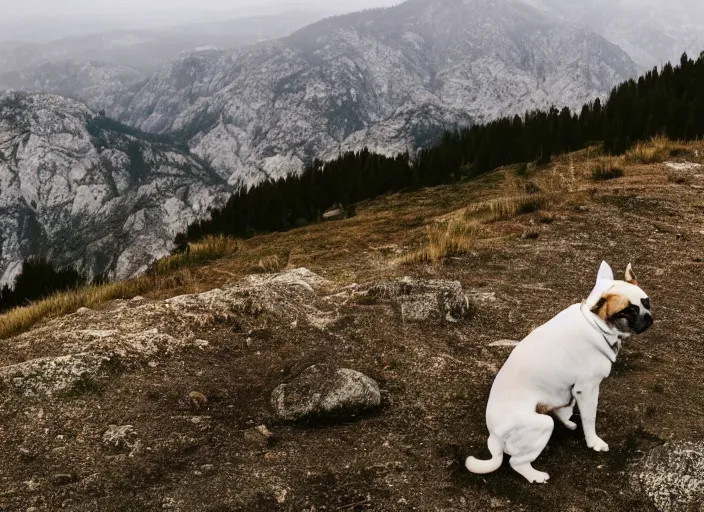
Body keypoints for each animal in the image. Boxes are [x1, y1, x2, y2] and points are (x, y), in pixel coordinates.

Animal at [468, 262, 656, 482]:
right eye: (628, 312)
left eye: (646, 302)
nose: (648, 317)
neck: (595, 323)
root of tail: (495, 437)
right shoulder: (588, 389)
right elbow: (590, 419)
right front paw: (593, 442)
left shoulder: (573, 391)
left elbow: (568, 406)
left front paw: (569, 421)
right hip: (543, 425)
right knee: (517, 462)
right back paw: (536, 475)